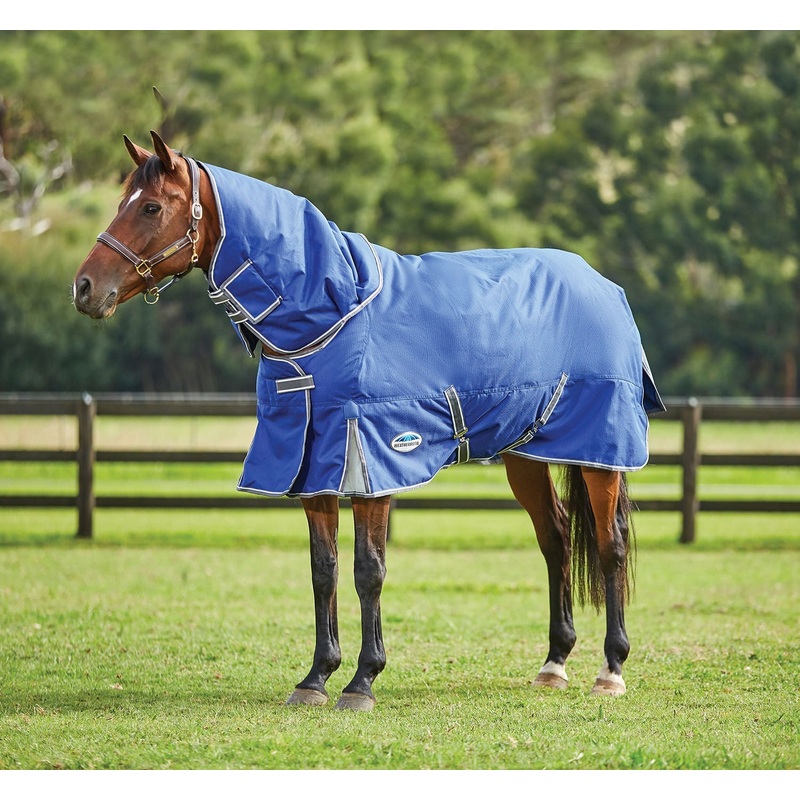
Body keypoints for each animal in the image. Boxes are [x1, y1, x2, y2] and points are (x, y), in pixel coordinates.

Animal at [73, 130, 665, 711]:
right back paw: (554, 663)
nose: (83, 288)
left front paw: (362, 681)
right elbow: (324, 569)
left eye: (151, 206)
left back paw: (610, 670)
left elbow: (368, 570)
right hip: (526, 453)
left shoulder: (370, 460)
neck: (331, 313)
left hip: (600, 451)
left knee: (610, 545)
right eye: (123, 200)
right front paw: (315, 678)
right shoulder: (312, 464)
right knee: (557, 538)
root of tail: (603, 285)